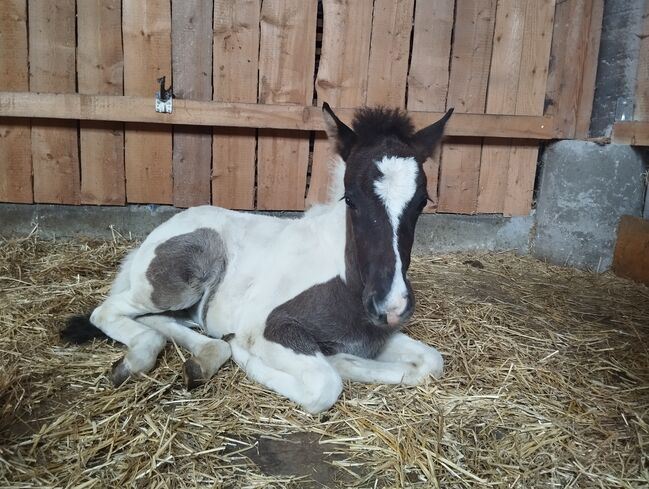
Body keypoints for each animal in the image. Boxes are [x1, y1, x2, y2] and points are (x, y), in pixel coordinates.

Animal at [63, 104, 454, 412]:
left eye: (422, 202)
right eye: (351, 199)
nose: (391, 306)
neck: (344, 281)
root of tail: (155, 236)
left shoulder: (376, 338)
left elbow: (430, 362)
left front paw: (341, 358)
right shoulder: (269, 328)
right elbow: (324, 387)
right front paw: (247, 352)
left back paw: (201, 360)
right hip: (177, 281)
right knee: (107, 310)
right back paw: (138, 359)